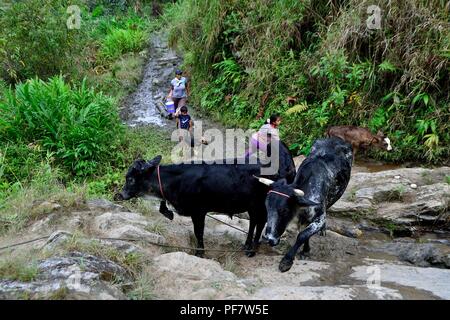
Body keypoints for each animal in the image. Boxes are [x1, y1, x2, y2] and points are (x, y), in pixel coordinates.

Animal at [115, 141, 296, 256]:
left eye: (130, 179)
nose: (121, 195)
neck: (176, 180)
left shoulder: (198, 211)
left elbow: (198, 232)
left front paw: (199, 252)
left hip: (259, 205)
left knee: (260, 223)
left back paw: (252, 250)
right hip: (251, 206)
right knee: (253, 223)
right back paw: (246, 245)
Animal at [256, 138, 352, 272]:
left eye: (284, 210)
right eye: (267, 208)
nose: (267, 238)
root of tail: (337, 138)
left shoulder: (320, 218)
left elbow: (302, 235)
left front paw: (287, 260)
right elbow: (304, 233)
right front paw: (305, 251)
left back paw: (323, 230)